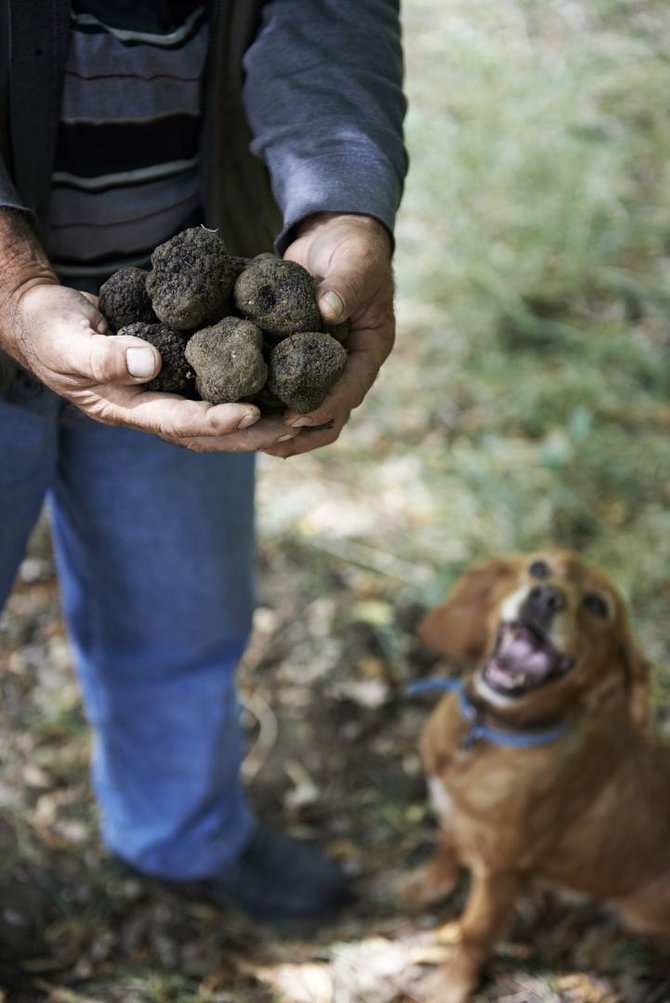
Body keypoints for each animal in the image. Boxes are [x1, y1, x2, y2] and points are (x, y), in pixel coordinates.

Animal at [403, 553, 670, 998]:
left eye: (597, 606)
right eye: (540, 568)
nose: (546, 598)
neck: (487, 734)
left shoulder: (499, 870)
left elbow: (474, 931)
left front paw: (450, 986)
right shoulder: (458, 821)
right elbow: (446, 845)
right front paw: (426, 885)